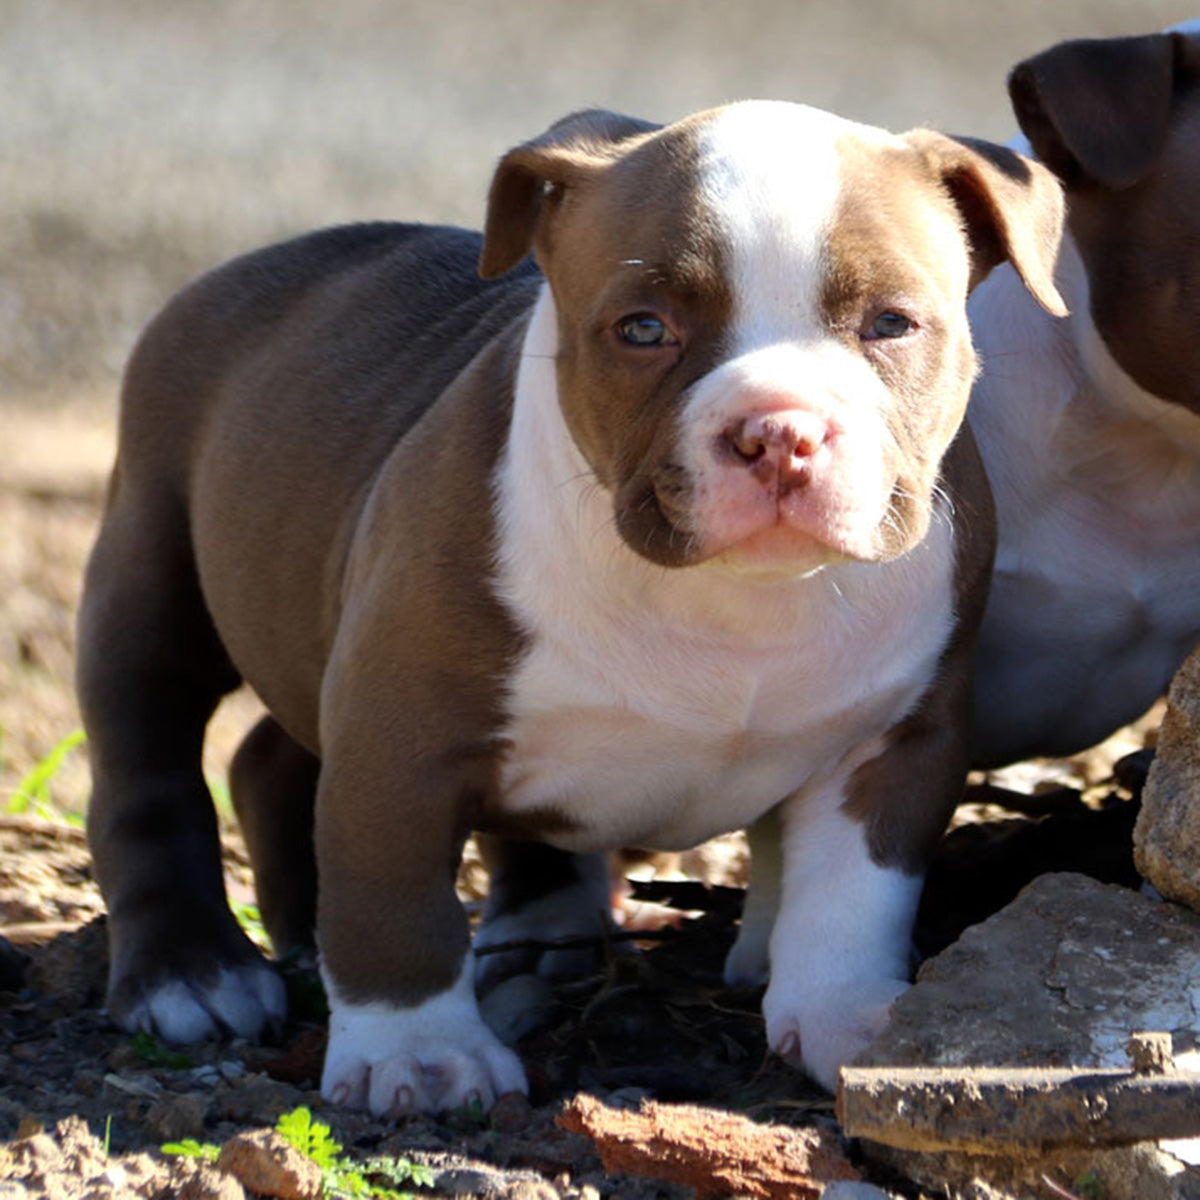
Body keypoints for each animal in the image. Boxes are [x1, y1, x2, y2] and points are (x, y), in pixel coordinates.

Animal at [77, 103, 1060, 1113]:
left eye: (892, 323)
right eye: (643, 328)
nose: (781, 431)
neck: (738, 604)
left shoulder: (897, 738)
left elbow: (856, 893)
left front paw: (856, 1021)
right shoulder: (398, 739)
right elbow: (392, 897)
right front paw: (416, 1054)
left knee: (271, 759)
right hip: (151, 569)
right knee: (146, 769)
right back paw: (193, 974)